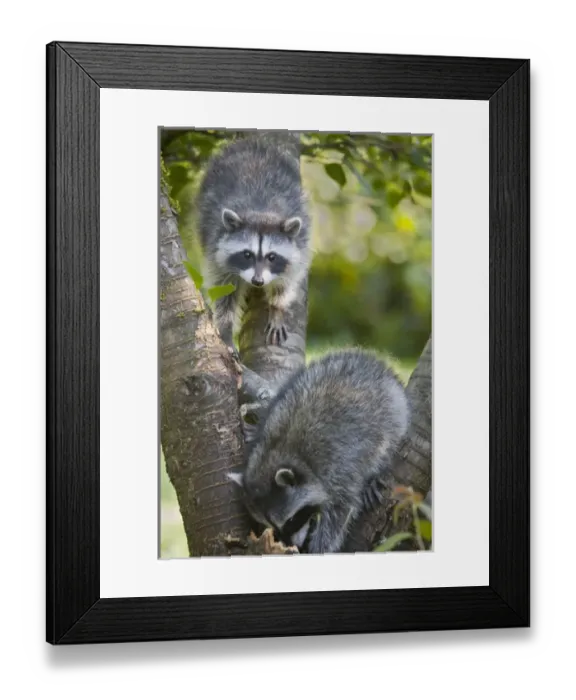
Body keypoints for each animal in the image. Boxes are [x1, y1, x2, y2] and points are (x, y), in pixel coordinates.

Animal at [196, 134, 311, 351]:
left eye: (272, 257)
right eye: (247, 254)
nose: (257, 281)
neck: (261, 212)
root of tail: (249, 143)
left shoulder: (301, 244)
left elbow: (286, 282)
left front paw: (277, 309)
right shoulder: (216, 247)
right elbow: (224, 291)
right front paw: (225, 328)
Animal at [228, 349, 411, 554]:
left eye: (291, 520)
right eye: (273, 527)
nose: (295, 545)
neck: (279, 451)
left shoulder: (337, 468)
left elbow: (340, 511)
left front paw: (319, 547)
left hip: (392, 414)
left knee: (384, 445)